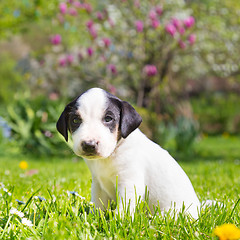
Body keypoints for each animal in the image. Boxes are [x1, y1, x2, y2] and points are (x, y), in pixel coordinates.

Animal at [56, 87, 201, 218]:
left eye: (108, 119)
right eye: (75, 120)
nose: (89, 145)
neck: (112, 154)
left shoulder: (129, 183)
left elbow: (123, 208)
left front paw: (118, 222)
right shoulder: (98, 184)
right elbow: (97, 205)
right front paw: (94, 218)